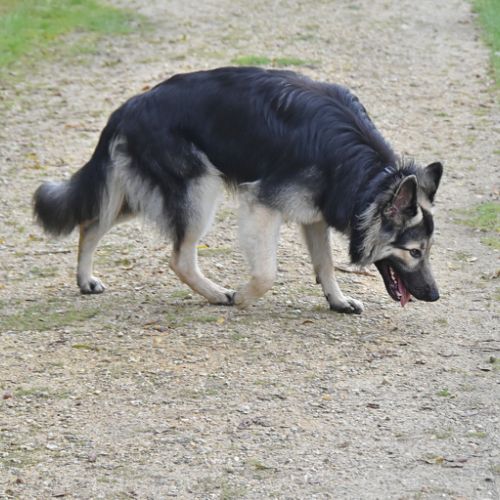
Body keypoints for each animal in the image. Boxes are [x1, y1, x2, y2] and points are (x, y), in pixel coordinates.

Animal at [33, 67, 442, 313]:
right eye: (414, 251)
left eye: (427, 250)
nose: (435, 295)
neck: (370, 176)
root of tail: (129, 106)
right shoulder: (262, 204)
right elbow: (266, 274)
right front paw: (245, 297)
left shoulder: (314, 214)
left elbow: (324, 263)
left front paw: (337, 300)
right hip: (199, 189)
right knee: (180, 259)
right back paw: (217, 294)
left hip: (142, 192)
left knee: (91, 222)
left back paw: (85, 280)